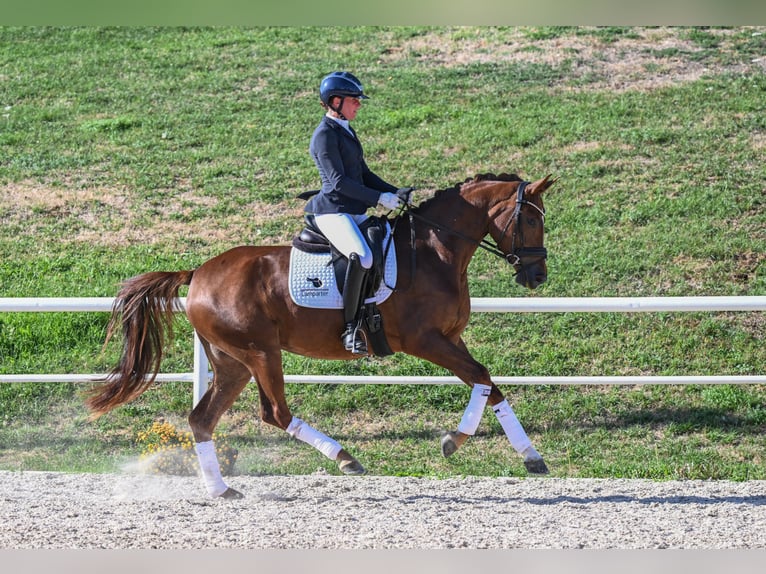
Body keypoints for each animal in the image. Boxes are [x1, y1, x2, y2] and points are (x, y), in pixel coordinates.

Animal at [87, 172, 556, 498]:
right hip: (260, 353)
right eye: (531, 220)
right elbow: (480, 377)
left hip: (232, 362)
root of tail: (198, 272)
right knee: (275, 412)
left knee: (203, 418)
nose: (536, 276)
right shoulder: (425, 341)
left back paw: (222, 490)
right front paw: (452, 441)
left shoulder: (451, 338)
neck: (435, 252)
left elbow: (488, 383)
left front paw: (531, 457)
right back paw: (345, 458)